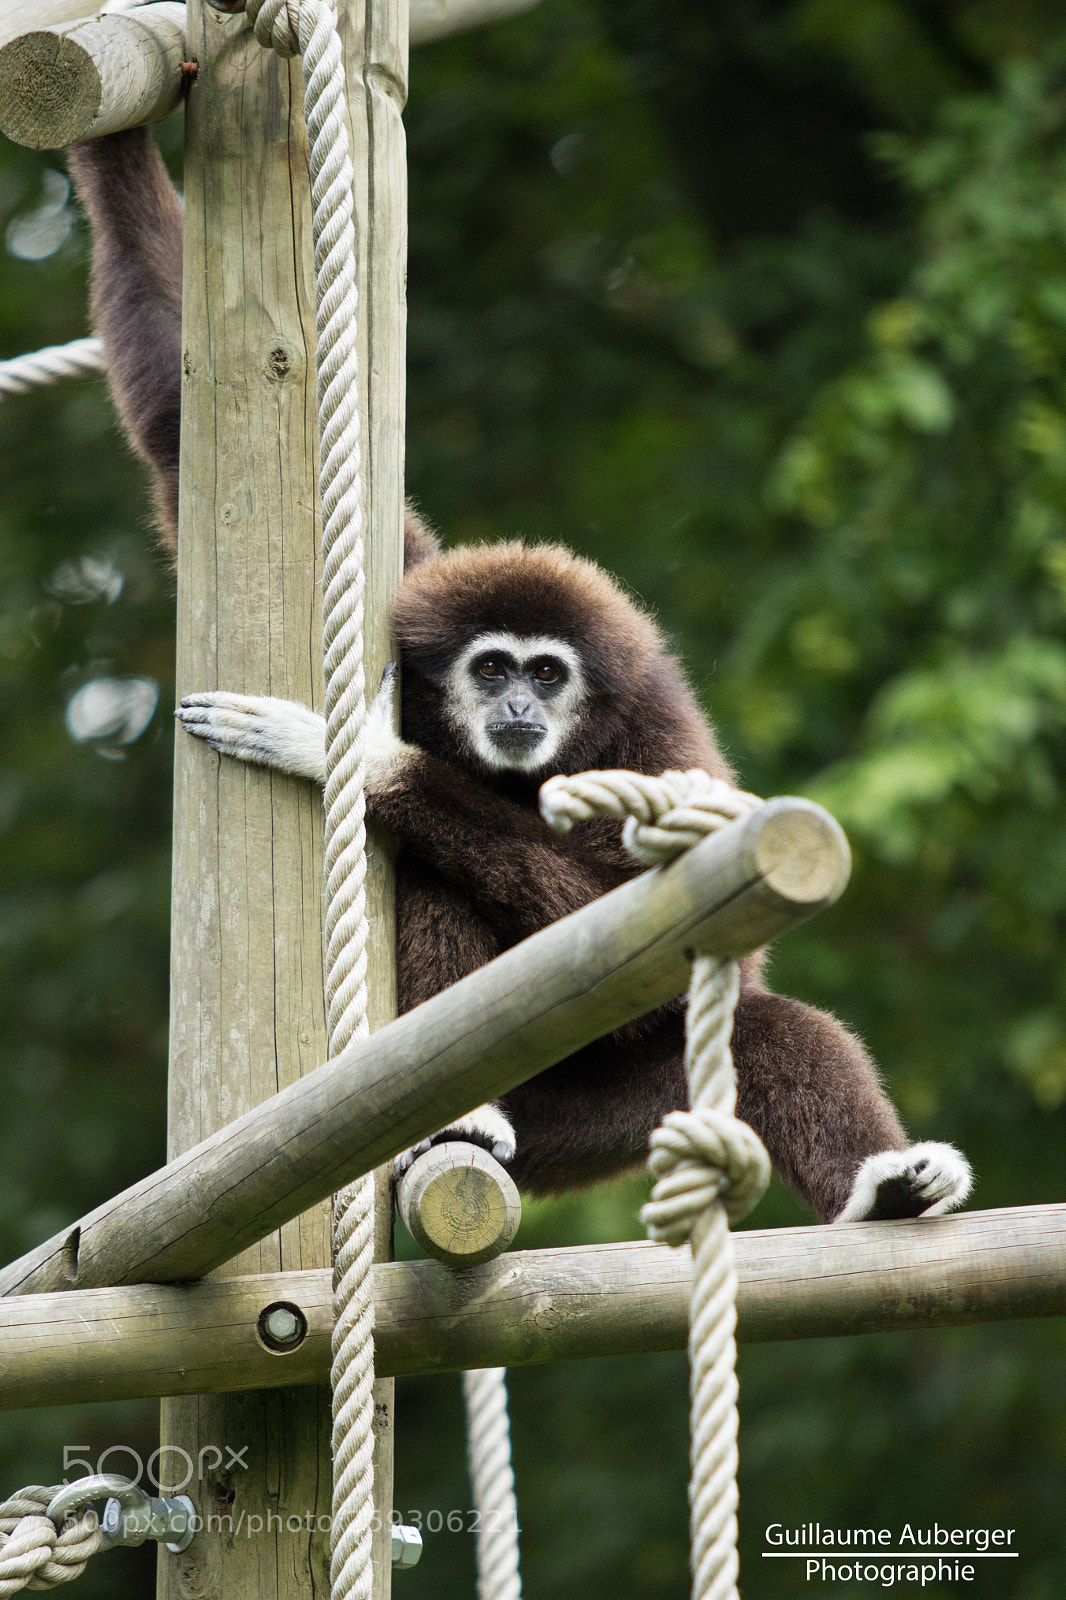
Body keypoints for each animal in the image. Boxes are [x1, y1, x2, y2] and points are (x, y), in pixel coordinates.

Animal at [67, 129, 972, 1222]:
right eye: (492, 665)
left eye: (546, 674)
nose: (510, 704)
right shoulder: (409, 593)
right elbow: (178, 417)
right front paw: (111, 149)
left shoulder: (654, 731)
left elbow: (685, 936)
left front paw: (364, 760)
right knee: (440, 883)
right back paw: (460, 1122)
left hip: (603, 1118)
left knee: (761, 1025)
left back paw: (887, 1187)